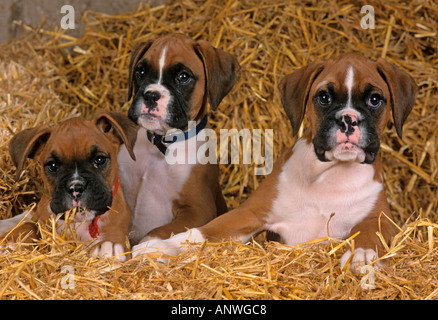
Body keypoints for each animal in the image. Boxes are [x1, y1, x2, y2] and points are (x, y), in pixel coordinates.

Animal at [0, 112, 137, 262]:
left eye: (99, 160)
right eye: (53, 165)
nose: (75, 187)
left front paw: (108, 246)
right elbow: (31, 225)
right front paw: (15, 240)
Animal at [116, 33, 240, 245]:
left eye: (183, 77)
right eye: (140, 71)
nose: (151, 95)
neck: (161, 145)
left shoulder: (198, 210)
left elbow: (158, 231)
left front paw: (145, 248)